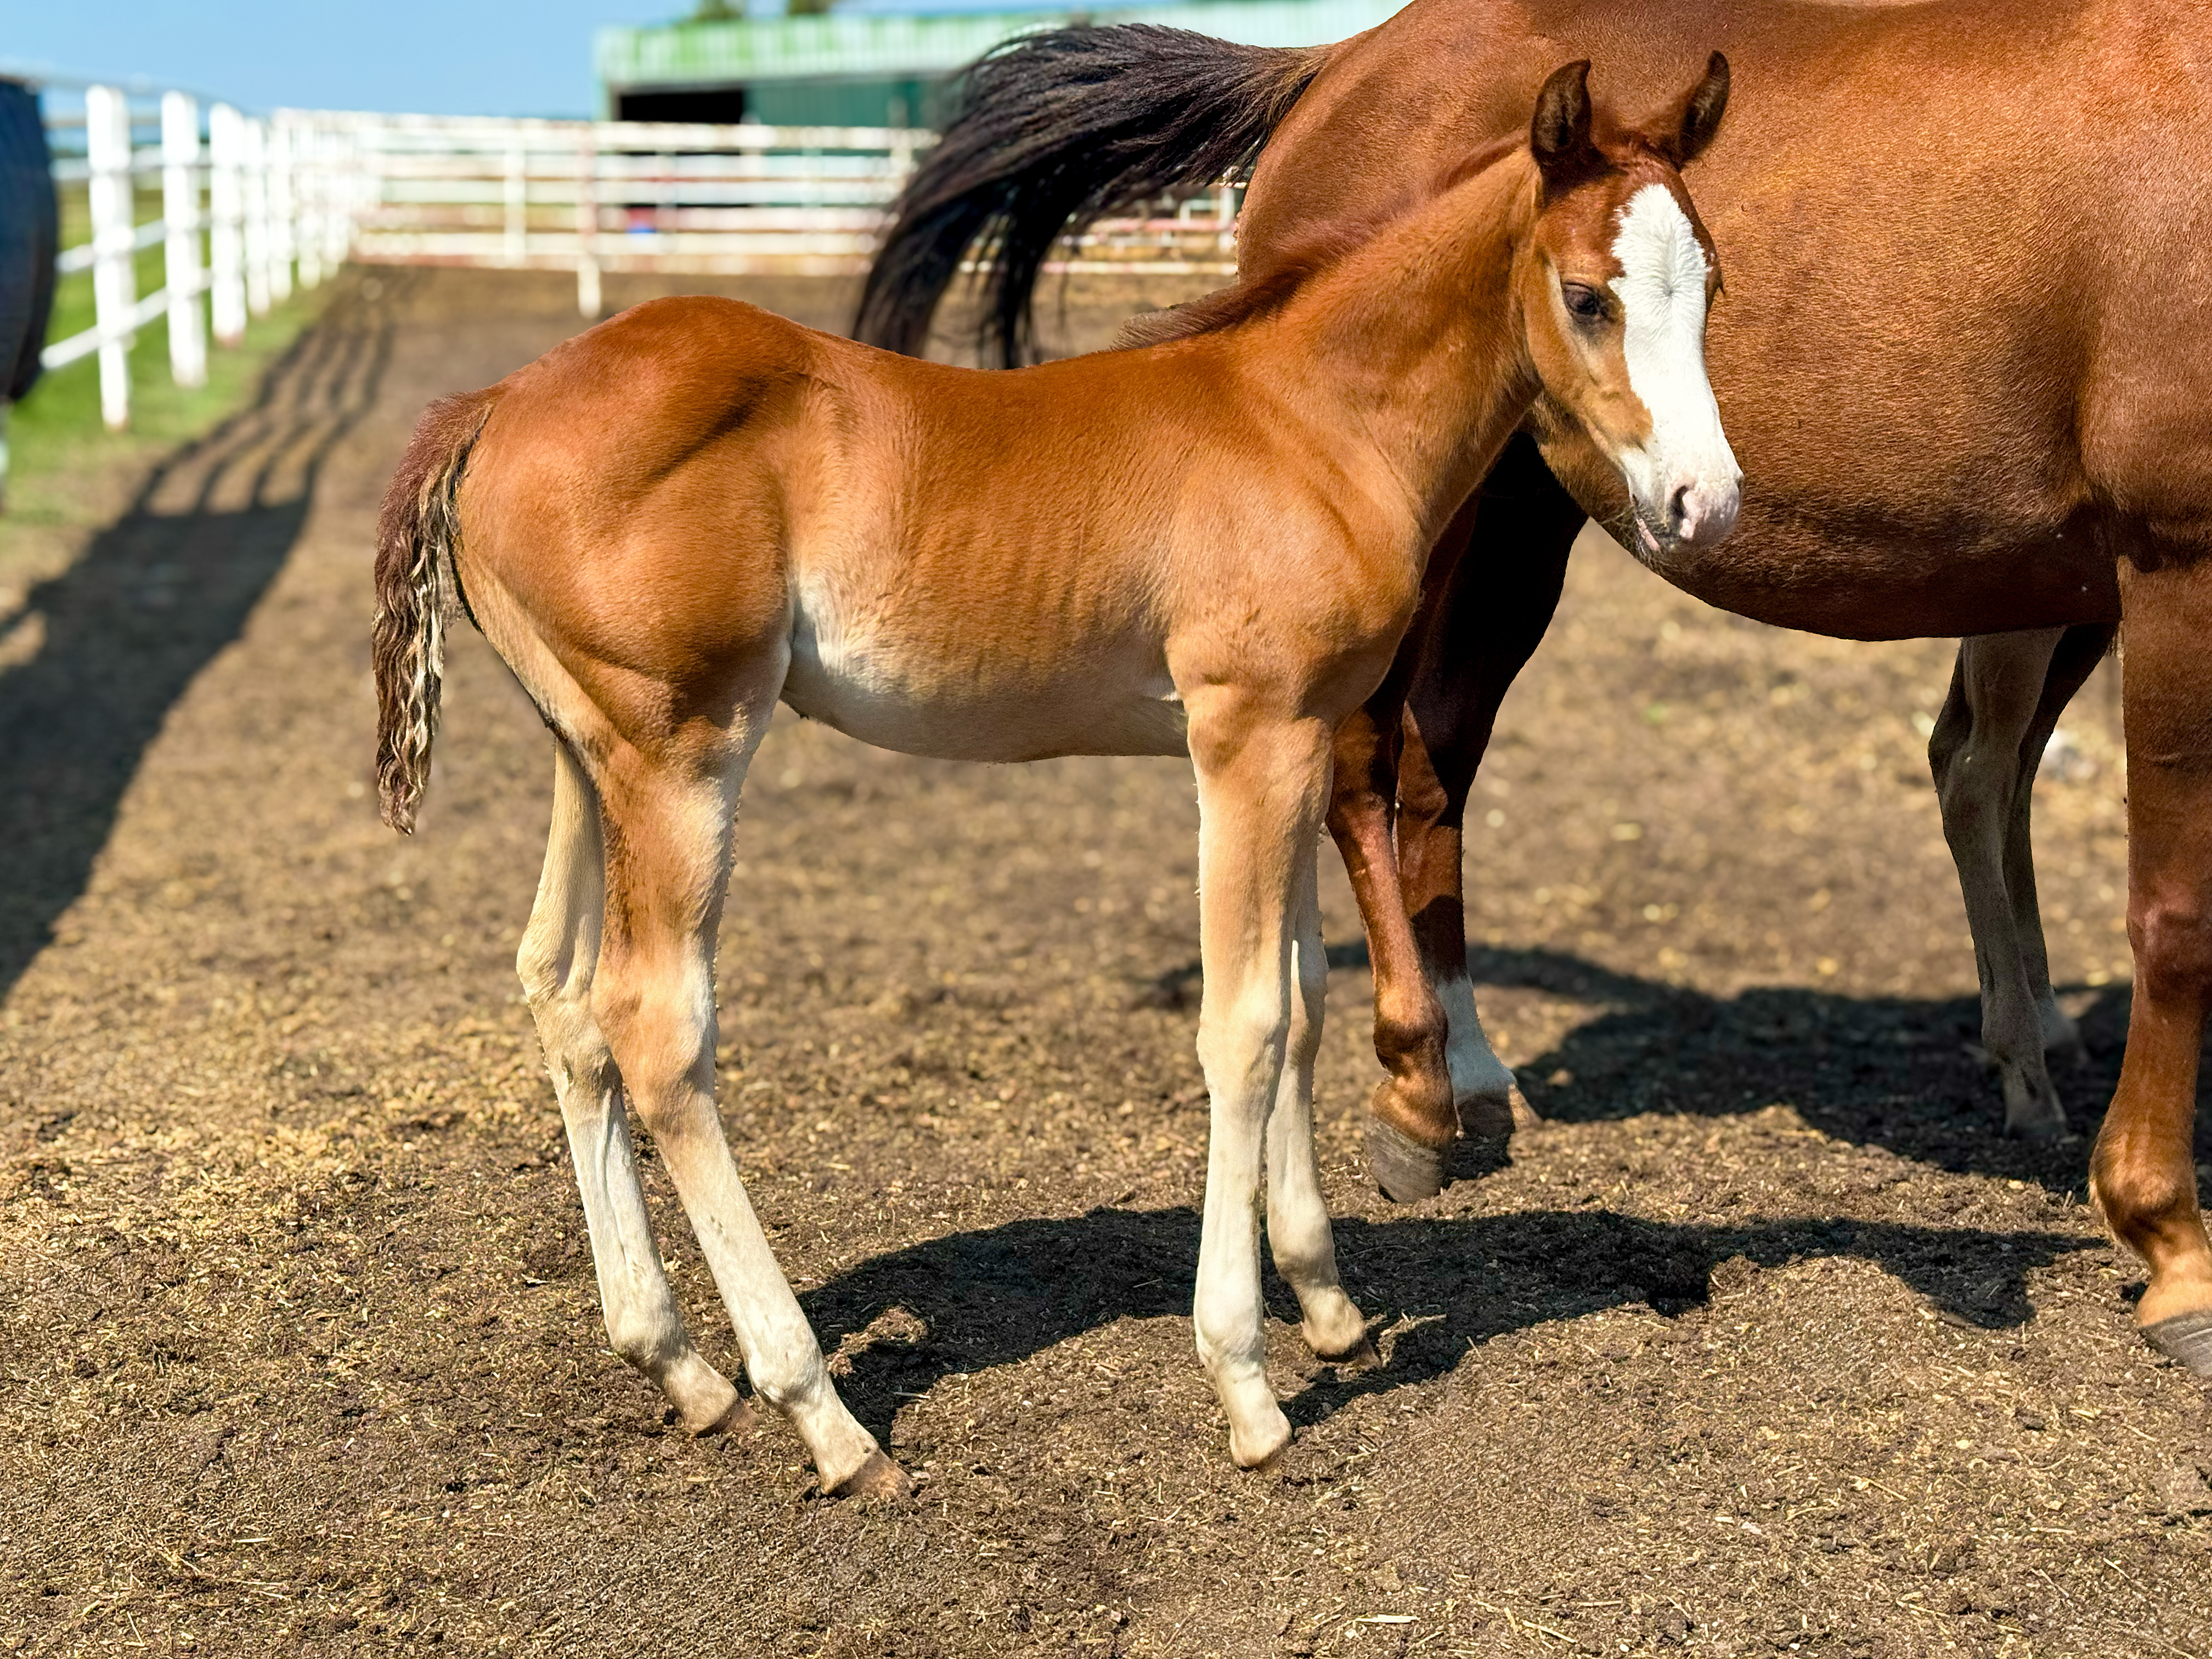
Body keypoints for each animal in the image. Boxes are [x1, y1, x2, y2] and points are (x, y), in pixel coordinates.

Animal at [371, 59, 1739, 1493]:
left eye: (1709, 283)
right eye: (1587, 295)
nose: (1705, 502)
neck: (1309, 423)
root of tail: (495, 404)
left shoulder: (1303, 737)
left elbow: (1306, 999)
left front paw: (1326, 1303)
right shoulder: (1242, 736)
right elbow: (1246, 1025)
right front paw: (1245, 1382)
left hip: (587, 757)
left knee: (557, 986)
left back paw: (681, 1367)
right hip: (680, 755)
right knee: (653, 1021)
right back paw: (823, 1416)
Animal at [852, 0, 2212, 1381]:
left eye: (1716, 288)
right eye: (1589, 296)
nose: (1710, 498)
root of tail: (1331, 62)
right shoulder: (2172, 561)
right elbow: (2174, 912)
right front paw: (2170, 1243)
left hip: (1524, 524)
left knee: (1440, 763)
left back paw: (1470, 1067)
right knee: (1375, 766)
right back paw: (1419, 1090)